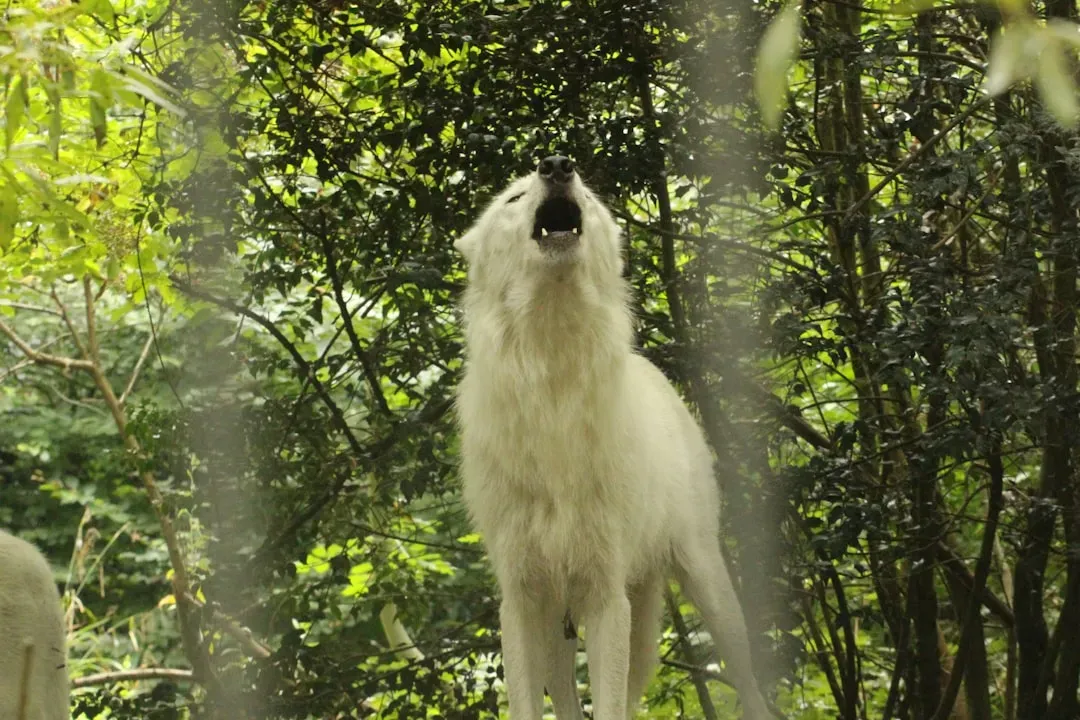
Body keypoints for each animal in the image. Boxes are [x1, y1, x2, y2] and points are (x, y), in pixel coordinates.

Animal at [454, 156, 773, 719]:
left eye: (590, 196)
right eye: (513, 198)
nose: (557, 165)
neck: (554, 385)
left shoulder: (606, 596)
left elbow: (608, 702)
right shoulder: (522, 599)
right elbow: (528, 704)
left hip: (707, 583)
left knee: (748, 682)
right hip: (562, 623)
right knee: (566, 694)